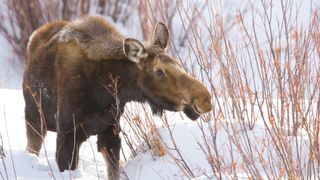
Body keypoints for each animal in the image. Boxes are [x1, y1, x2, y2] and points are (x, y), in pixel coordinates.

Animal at [23, 15, 212, 180]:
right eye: (160, 71)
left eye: (179, 64)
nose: (205, 99)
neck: (102, 91)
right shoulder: (67, 135)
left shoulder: (110, 133)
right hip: (34, 119)